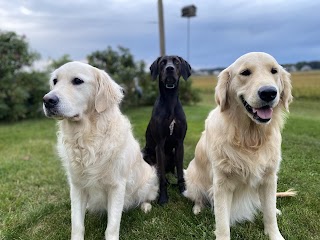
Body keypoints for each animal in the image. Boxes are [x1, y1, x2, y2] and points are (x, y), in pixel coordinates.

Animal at [143, 55, 192, 204]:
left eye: (176, 62)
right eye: (163, 62)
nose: (169, 68)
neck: (170, 99)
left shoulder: (180, 144)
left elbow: (180, 172)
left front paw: (183, 191)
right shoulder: (160, 145)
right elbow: (162, 178)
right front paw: (163, 198)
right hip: (145, 154)